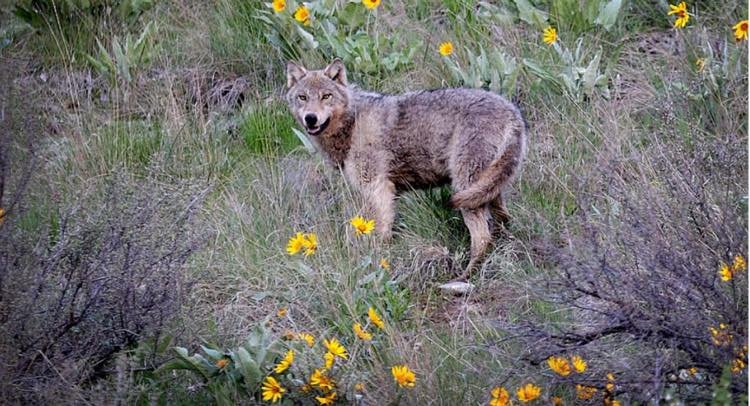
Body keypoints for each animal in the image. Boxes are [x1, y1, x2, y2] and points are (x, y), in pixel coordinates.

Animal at [286, 58, 528, 280]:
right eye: (303, 97)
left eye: (326, 96)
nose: (310, 118)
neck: (352, 124)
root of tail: (513, 112)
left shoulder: (378, 189)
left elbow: (379, 232)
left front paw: (379, 262)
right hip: (487, 189)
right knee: (503, 220)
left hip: (465, 189)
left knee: (482, 237)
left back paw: (464, 277)